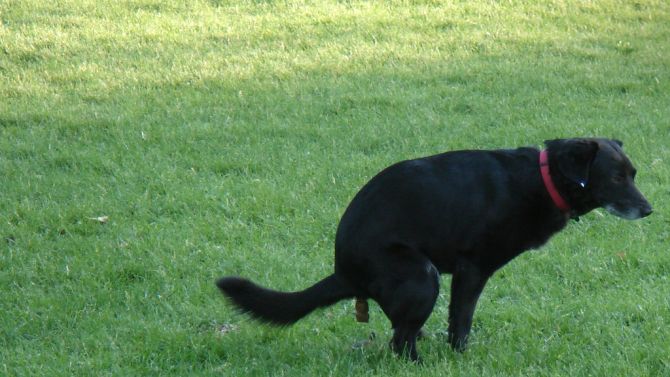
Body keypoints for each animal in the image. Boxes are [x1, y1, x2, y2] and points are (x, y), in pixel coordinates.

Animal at [218, 137, 652, 360]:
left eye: (632, 174)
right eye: (616, 178)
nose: (649, 211)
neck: (543, 179)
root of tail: (343, 270)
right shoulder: (472, 268)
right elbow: (461, 319)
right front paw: (460, 357)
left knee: (402, 331)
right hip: (421, 276)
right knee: (399, 341)